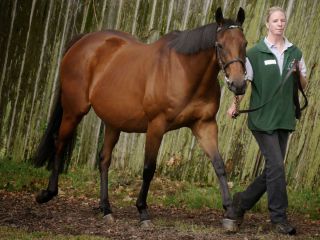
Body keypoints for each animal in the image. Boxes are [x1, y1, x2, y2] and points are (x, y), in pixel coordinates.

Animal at [33, 6, 248, 230]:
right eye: (220, 45)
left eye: (245, 44)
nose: (239, 84)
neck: (185, 71)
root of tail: (83, 41)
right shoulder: (156, 126)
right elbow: (148, 168)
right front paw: (143, 211)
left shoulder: (204, 125)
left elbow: (219, 165)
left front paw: (230, 211)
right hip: (74, 110)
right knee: (59, 142)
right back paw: (47, 193)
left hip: (113, 122)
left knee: (104, 159)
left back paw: (106, 208)